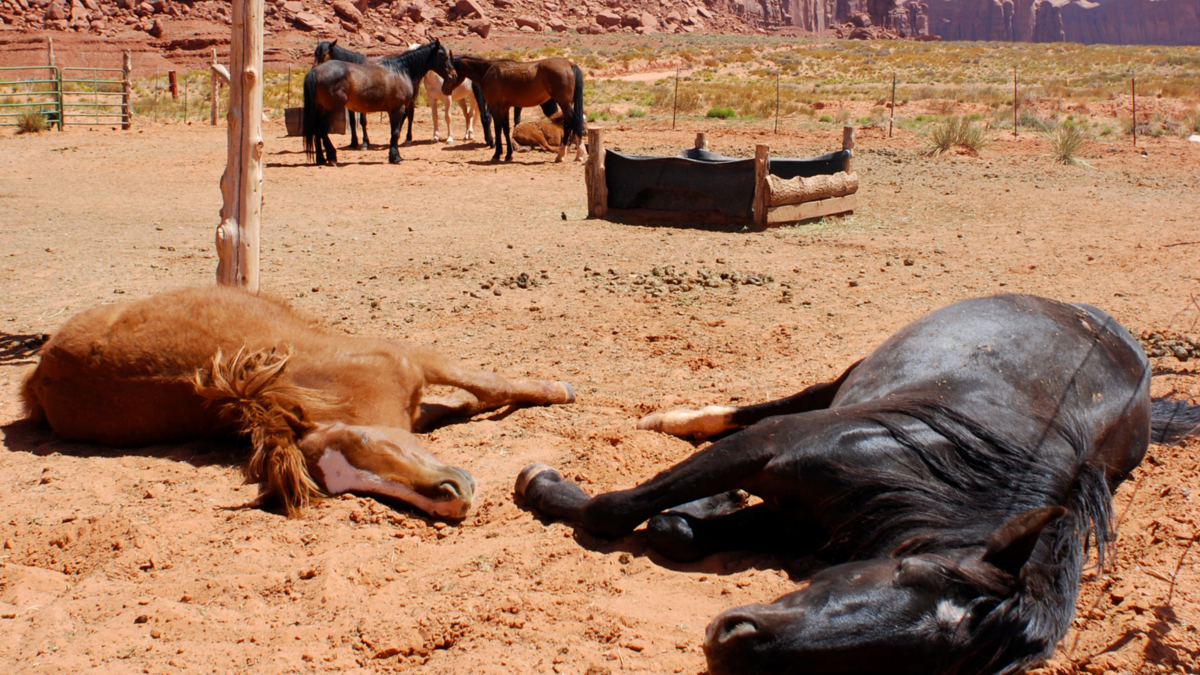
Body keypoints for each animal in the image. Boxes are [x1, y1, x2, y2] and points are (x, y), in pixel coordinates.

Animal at [19, 283, 576, 514]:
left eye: (361, 438)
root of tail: (39, 374)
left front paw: (559, 391)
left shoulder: (418, 365)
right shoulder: (412, 374)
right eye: (353, 490)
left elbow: (483, 388)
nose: (450, 498)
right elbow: (482, 390)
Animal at [304, 39, 453, 165]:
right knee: (321, 129)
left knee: (317, 130)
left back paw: (321, 159)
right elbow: (394, 132)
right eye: (443, 56)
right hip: (332, 109)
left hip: (320, 109)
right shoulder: (397, 108)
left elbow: (393, 131)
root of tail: (315, 72)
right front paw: (395, 157)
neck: (400, 71)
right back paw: (331, 157)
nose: (453, 75)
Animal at [444, 55, 588, 163]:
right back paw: (564, 155)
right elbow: (506, 129)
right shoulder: (505, 107)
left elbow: (498, 129)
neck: (488, 71)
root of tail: (570, 64)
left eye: (450, 70)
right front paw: (508, 155)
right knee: (570, 124)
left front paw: (497, 154)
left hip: (564, 104)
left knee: (574, 122)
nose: (444, 89)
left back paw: (576, 155)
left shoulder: (496, 107)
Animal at [518, 294, 1200, 672]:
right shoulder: (772, 447)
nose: (731, 641)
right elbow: (615, 510)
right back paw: (668, 419)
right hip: (838, 381)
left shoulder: (803, 520)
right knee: (764, 407)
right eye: (910, 572)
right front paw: (541, 485)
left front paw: (702, 511)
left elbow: (673, 530)